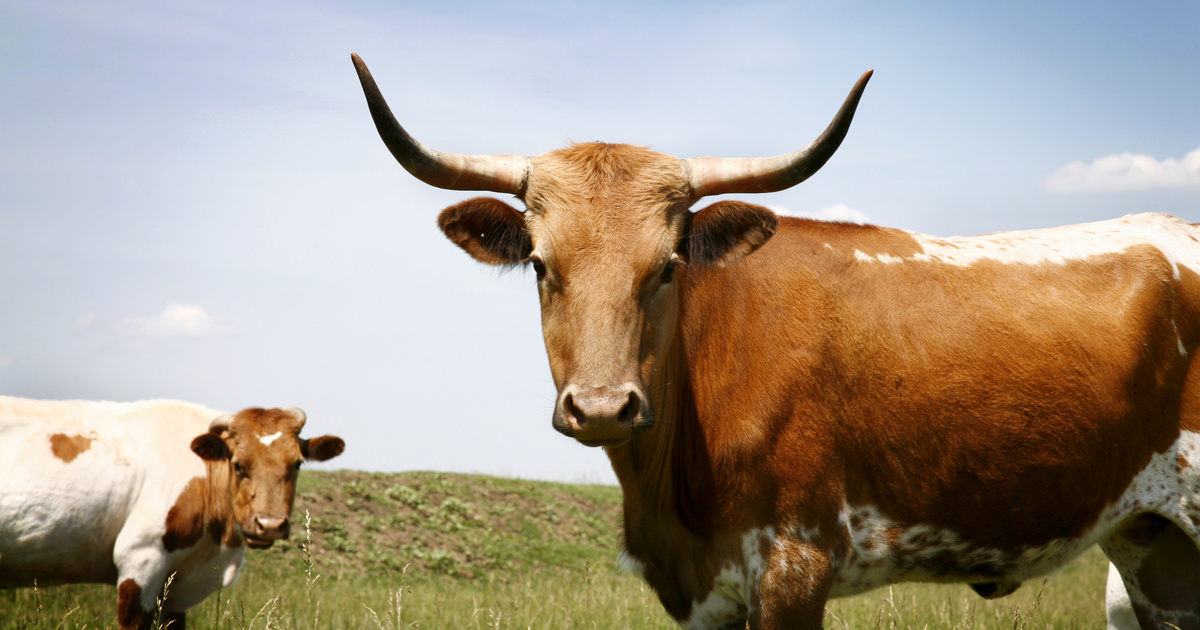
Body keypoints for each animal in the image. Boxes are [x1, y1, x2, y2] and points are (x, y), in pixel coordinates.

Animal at [350, 55, 1200, 628]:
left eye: (667, 265)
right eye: (538, 265)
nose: (601, 408)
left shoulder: (794, 564)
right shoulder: (706, 596)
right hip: (1154, 546)